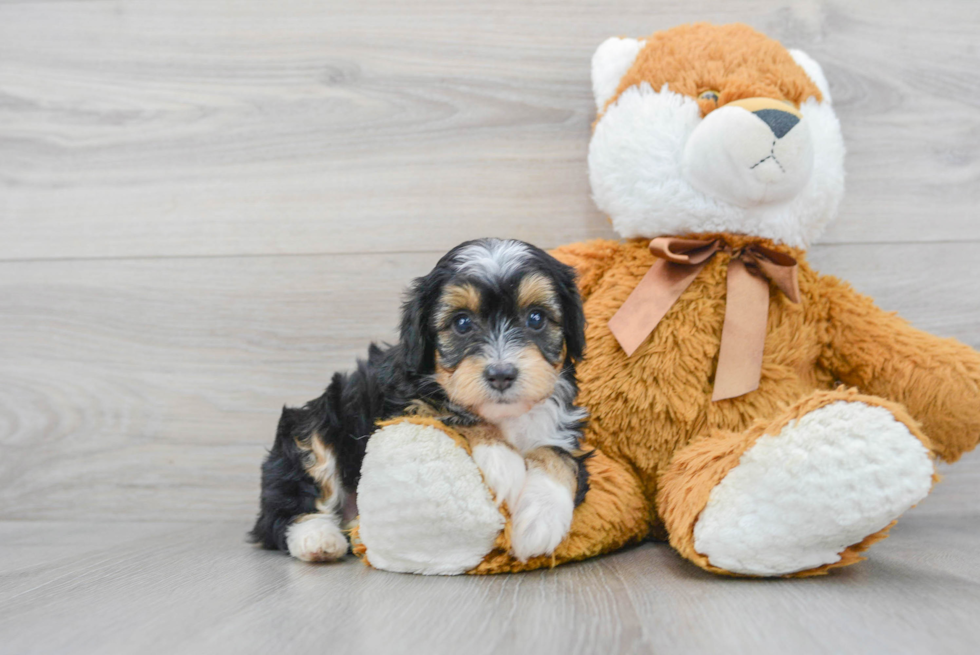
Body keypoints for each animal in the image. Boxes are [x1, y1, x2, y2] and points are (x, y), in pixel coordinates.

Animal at [253, 240, 588, 564]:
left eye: (536, 318)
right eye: (462, 323)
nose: (501, 374)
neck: (505, 416)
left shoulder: (562, 427)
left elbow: (558, 456)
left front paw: (541, 518)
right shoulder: (399, 405)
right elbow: (449, 409)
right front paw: (501, 460)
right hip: (312, 425)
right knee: (287, 506)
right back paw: (318, 539)